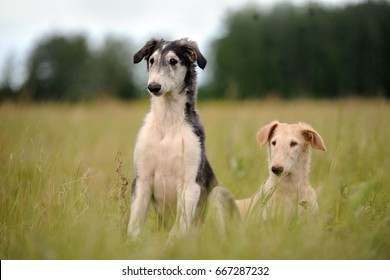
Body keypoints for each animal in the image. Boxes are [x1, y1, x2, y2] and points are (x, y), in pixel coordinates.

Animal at [129, 37, 218, 238]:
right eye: (152, 60)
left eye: (173, 61)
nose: (153, 87)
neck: (168, 123)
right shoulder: (142, 180)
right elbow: (134, 226)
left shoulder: (190, 183)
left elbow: (178, 230)